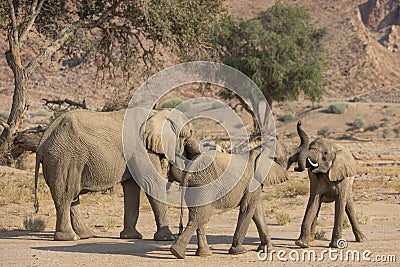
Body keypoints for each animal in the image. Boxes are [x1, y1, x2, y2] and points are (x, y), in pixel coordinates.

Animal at [33, 108, 199, 242]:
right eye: (190, 132)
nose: (179, 231)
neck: (157, 113)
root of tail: (42, 142)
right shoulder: (141, 149)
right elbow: (152, 183)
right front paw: (167, 238)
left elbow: (132, 188)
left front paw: (131, 237)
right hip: (65, 158)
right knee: (66, 195)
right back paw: (69, 238)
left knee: (72, 197)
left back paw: (86, 235)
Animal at [288, 122, 366, 250]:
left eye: (325, 153)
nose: (299, 122)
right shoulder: (315, 180)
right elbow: (313, 202)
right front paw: (302, 244)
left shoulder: (342, 176)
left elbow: (340, 203)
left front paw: (336, 246)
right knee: (318, 206)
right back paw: (311, 238)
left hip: (350, 180)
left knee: (349, 205)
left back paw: (361, 239)